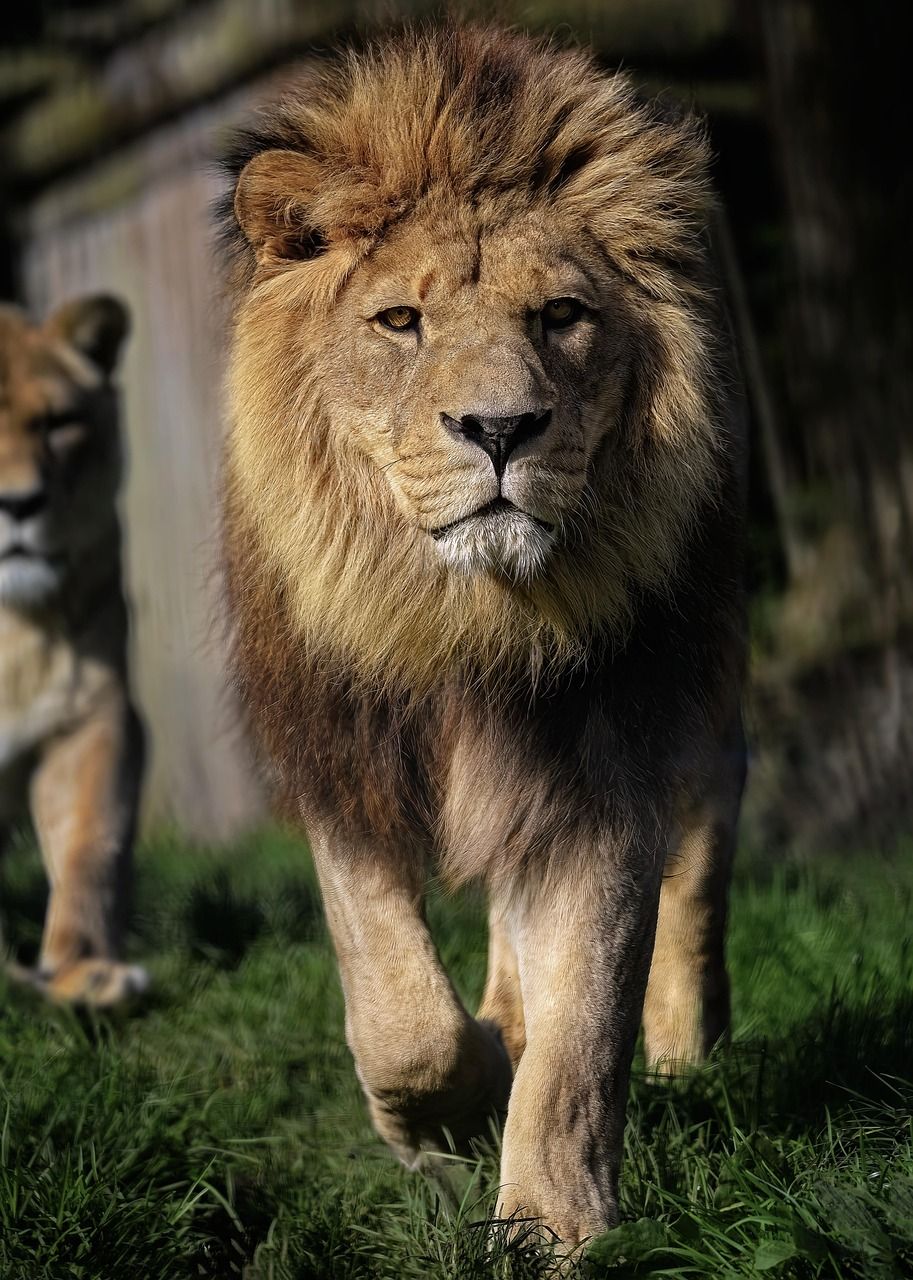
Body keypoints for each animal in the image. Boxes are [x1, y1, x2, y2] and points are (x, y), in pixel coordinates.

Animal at [221, 26, 747, 1249]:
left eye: (559, 316)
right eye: (399, 322)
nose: (500, 428)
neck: (465, 619)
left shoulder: (607, 764)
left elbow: (584, 1027)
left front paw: (552, 1228)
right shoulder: (343, 762)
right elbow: (399, 1011)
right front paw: (446, 1119)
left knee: (701, 866)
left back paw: (685, 1048)